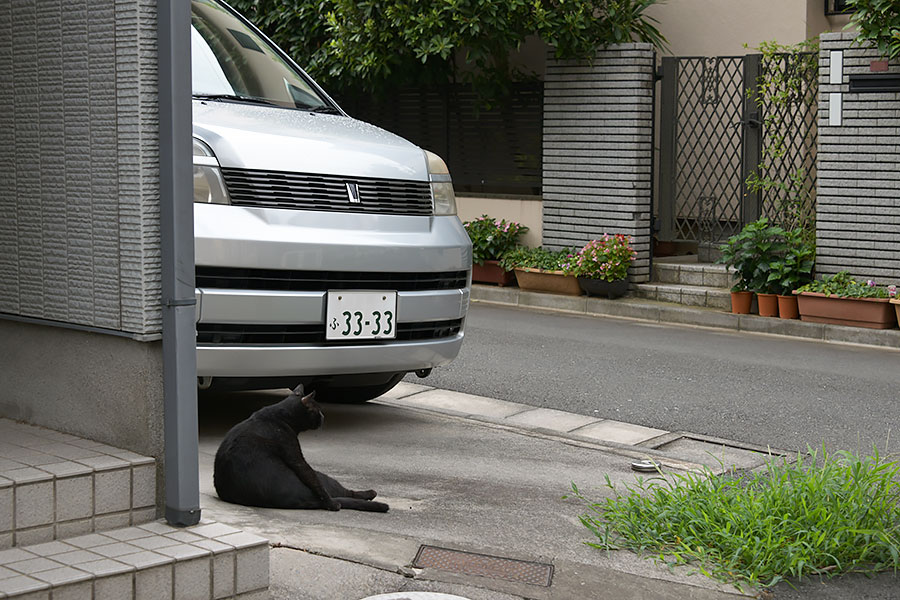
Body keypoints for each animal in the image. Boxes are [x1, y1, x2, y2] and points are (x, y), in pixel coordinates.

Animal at [217, 384, 390, 510]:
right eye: (318, 411)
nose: (323, 417)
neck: (278, 415)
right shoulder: (295, 455)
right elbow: (313, 480)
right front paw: (332, 504)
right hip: (322, 476)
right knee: (342, 491)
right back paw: (365, 495)